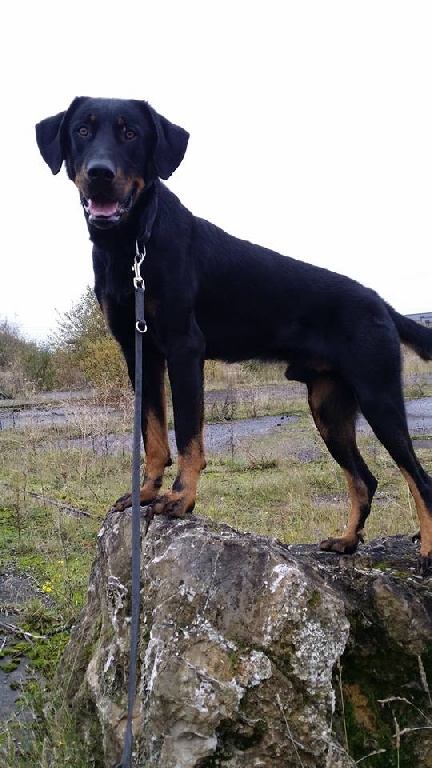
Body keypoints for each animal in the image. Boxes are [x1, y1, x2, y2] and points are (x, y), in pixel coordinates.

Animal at [35, 97, 432, 568]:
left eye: (130, 133)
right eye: (81, 130)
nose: (99, 173)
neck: (132, 245)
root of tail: (382, 304)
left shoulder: (184, 349)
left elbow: (189, 435)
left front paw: (180, 499)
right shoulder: (139, 352)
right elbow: (153, 435)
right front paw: (146, 493)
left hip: (379, 396)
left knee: (419, 478)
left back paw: (427, 549)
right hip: (329, 409)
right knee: (365, 479)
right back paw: (348, 540)